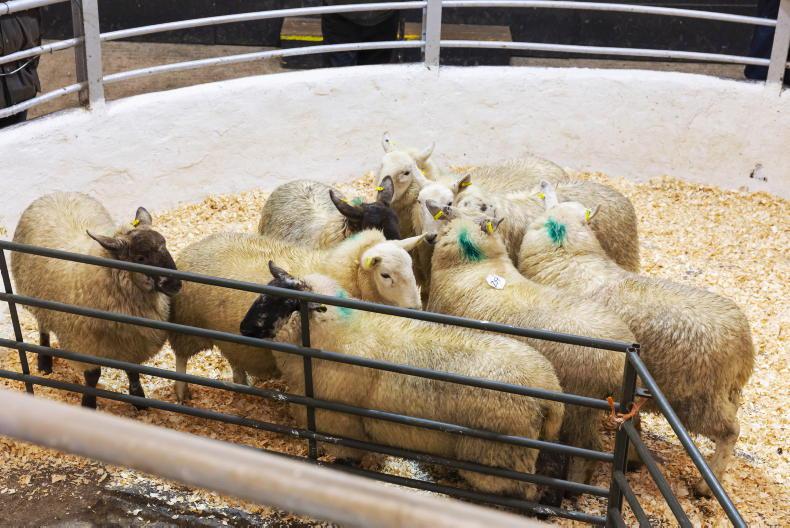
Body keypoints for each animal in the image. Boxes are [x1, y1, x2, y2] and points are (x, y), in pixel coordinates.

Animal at [11, 192, 182, 409]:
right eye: (141, 258)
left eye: (165, 246)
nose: (176, 284)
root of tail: (56, 193)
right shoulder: (85, 345)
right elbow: (92, 377)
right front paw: (88, 404)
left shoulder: (132, 343)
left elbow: (133, 372)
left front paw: (139, 399)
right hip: (37, 298)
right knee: (43, 328)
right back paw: (44, 362)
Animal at [169, 229, 428, 402]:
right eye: (385, 275)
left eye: (411, 267)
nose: (416, 309)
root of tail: (193, 246)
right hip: (187, 322)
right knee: (181, 358)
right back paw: (182, 392)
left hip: (226, 334)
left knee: (234, 358)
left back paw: (242, 384)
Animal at [239, 263, 564, 502]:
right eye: (263, 294)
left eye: (283, 303)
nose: (243, 329)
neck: (338, 331)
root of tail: (549, 386)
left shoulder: (341, 423)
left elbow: (349, 458)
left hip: (496, 457)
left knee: (523, 492)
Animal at [423, 205, 635, 484]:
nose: (429, 236)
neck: (475, 264)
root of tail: (619, 362)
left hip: (579, 408)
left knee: (588, 450)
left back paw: (573, 485)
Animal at [517, 181, 755, 497]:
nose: (545, 184)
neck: (570, 261)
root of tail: (744, 343)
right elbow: (633, 421)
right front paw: (631, 457)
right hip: (724, 393)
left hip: (696, 399)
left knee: (730, 431)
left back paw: (706, 485)